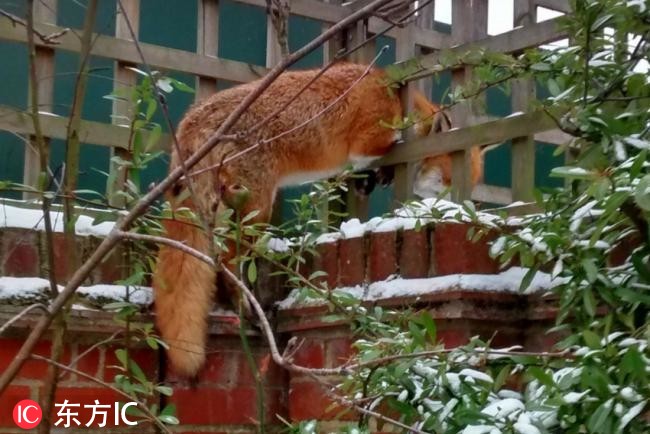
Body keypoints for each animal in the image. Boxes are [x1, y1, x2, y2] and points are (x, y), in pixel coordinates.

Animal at [151, 62, 476, 376]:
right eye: (448, 179)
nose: (465, 206)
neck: (397, 98)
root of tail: (191, 118)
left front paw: (374, 178)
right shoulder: (369, 139)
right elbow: (382, 148)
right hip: (257, 208)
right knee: (229, 260)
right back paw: (244, 306)